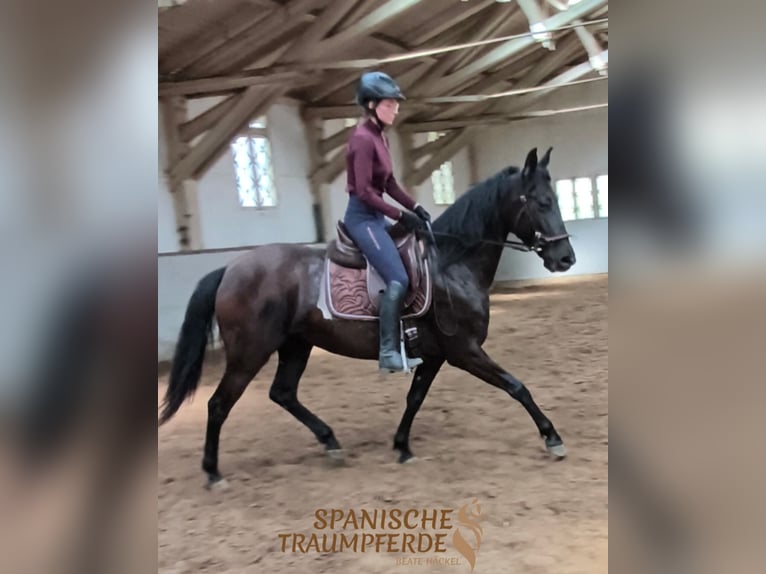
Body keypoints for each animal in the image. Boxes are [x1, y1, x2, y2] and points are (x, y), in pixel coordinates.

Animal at [159, 147, 576, 487]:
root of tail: (230, 268)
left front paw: (402, 446)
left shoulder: (435, 355)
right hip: (250, 352)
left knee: (283, 393)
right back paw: (213, 472)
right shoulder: (465, 351)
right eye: (542, 202)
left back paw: (330, 442)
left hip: (296, 345)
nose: (565, 258)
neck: (452, 263)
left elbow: (415, 398)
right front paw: (552, 437)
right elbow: (517, 386)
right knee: (219, 404)